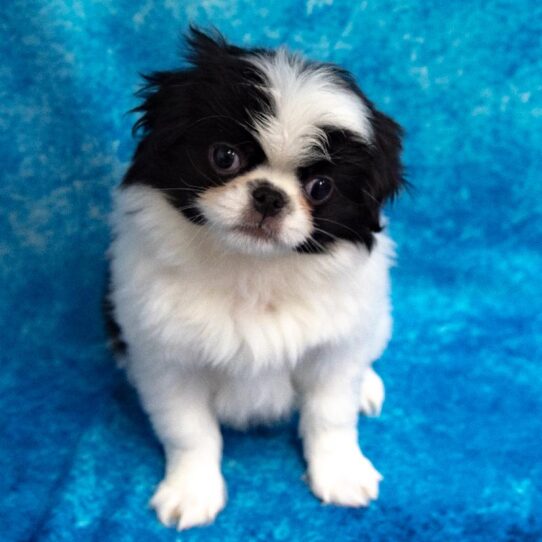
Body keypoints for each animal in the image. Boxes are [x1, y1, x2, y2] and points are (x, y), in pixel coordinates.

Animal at [106, 28, 404, 532]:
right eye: (224, 157)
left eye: (320, 188)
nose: (269, 196)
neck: (252, 270)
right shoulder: (166, 360)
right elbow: (189, 431)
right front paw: (192, 492)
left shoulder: (333, 350)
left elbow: (331, 416)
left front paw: (341, 474)